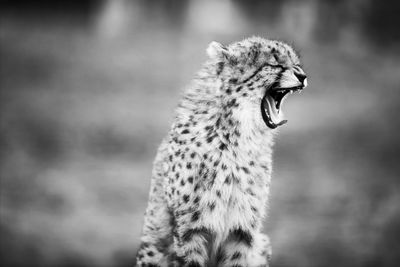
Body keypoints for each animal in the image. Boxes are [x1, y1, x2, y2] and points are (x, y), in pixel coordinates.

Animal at [136, 36, 308, 267]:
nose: (303, 76)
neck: (236, 137)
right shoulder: (189, 230)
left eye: (296, 63)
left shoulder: (242, 230)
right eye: (274, 64)